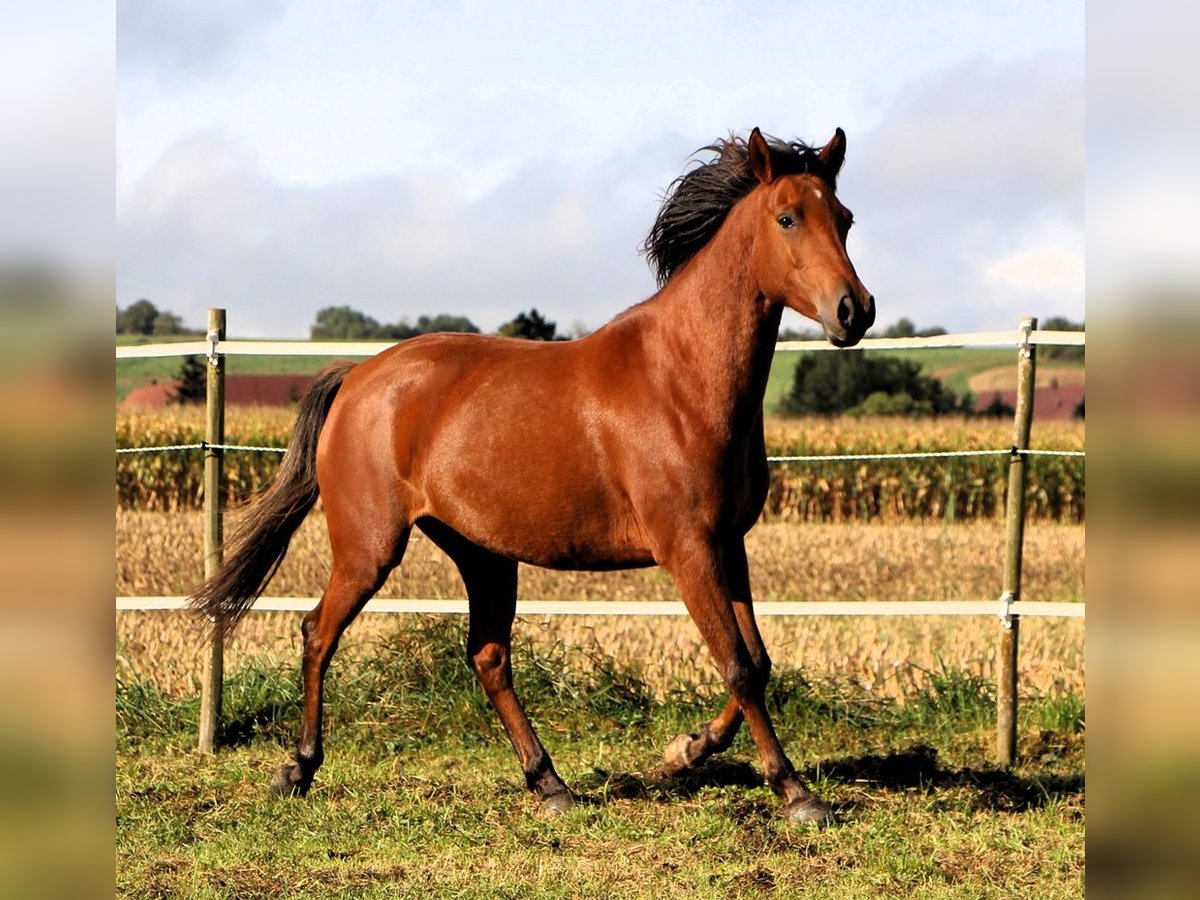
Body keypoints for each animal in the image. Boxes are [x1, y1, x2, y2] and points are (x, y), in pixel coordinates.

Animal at [192, 125, 878, 825]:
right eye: (787, 217)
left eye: (845, 217)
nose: (855, 310)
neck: (681, 377)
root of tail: (356, 377)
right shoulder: (688, 548)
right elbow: (737, 665)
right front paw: (796, 793)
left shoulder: (728, 542)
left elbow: (757, 663)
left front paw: (685, 751)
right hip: (369, 548)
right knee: (319, 633)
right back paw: (298, 769)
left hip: (483, 553)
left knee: (488, 657)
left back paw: (549, 783)